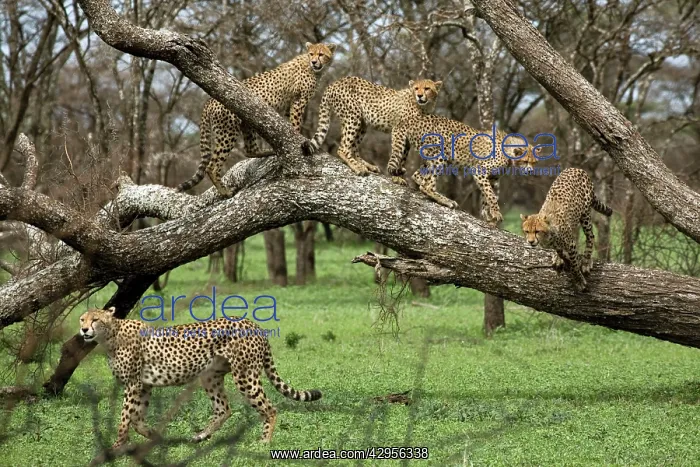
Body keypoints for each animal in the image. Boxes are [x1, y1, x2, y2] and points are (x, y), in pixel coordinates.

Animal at [79, 307, 321, 449]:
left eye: (95, 319)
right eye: (82, 319)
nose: (83, 330)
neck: (111, 335)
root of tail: (252, 323)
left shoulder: (133, 384)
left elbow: (125, 418)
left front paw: (116, 447)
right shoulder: (144, 385)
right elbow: (137, 419)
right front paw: (156, 437)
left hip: (245, 376)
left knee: (270, 408)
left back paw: (264, 441)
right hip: (211, 377)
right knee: (224, 409)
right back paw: (201, 436)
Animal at [177, 42, 337, 197]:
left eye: (321, 54)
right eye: (311, 54)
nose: (314, 62)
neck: (314, 69)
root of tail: (209, 101)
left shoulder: (289, 106)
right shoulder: (298, 101)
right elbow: (296, 123)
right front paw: (298, 136)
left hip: (246, 124)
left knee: (249, 150)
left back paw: (268, 152)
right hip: (227, 131)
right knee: (212, 166)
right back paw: (225, 192)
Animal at [306, 76, 442, 176]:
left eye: (427, 88)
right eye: (416, 88)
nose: (419, 95)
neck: (423, 106)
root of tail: (335, 82)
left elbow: (404, 155)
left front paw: (399, 172)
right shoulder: (399, 130)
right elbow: (397, 151)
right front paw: (396, 175)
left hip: (362, 123)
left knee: (353, 148)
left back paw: (367, 165)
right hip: (353, 117)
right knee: (343, 148)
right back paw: (358, 167)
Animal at [387, 114, 541, 226]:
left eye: (534, 162)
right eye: (525, 161)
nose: (530, 171)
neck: (508, 152)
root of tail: (412, 119)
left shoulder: (492, 178)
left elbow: (486, 196)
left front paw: (487, 216)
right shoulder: (480, 171)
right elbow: (491, 195)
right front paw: (496, 213)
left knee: (417, 175)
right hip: (439, 156)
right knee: (427, 185)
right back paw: (446, 200)